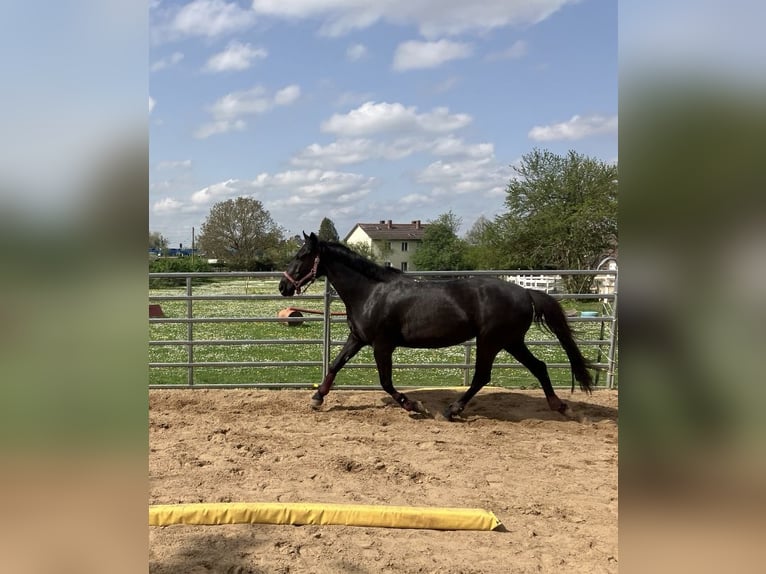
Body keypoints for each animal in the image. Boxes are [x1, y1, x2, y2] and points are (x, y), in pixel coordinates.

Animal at [280, 232, 592, 420]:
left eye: (302, 256)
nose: (284, 286)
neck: (370, 292)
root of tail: (527, 292)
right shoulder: (357, 337)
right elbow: (335, 365)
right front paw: (317, 398)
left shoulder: (382, 345)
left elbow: (385, 381)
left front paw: (414, 405)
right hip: (511, 341)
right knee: (539, 366)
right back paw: (560, 406)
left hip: (491, 341)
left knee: (482, 376)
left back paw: (453, 410)